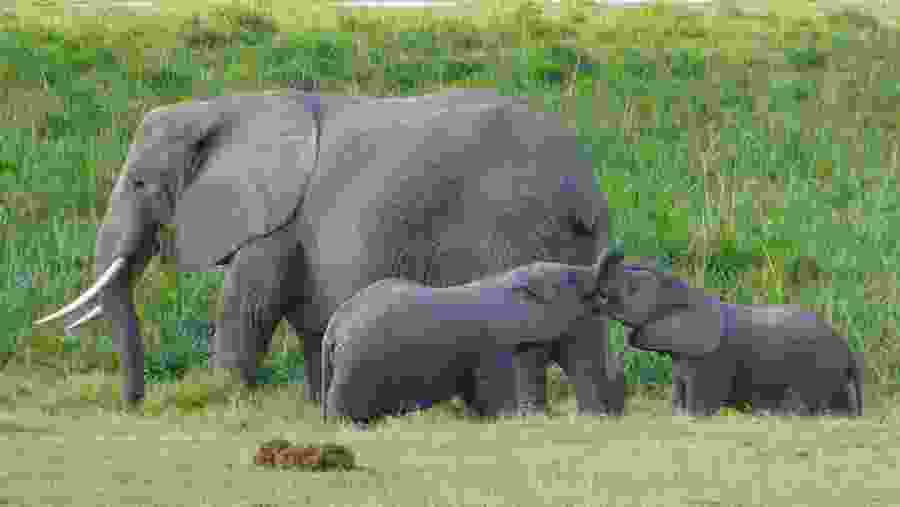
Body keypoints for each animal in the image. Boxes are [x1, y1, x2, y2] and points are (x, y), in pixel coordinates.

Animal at [592, 253, 863, 417]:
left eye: (633, 289)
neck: (687, 294)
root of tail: (849, 354)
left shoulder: (713, 360)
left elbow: (701, 405)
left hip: (816, 372)